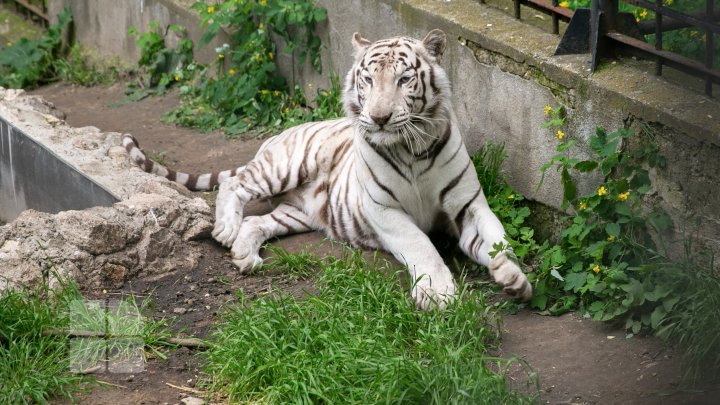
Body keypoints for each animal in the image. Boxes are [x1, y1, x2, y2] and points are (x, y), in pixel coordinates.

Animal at [122, 29, 528, 310]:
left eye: (403, 79)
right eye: (368, 80)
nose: (379, 118)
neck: (411, 148)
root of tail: (277, 135)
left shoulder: (468, 205)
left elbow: (497, 237)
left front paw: (513, 276)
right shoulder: (385, 211)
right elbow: (423, 247)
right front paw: (439, 294)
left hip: (297, 212)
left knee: (257, 221)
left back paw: (245, 255)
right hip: (283, 166)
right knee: (235, 183)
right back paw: (225, 229)